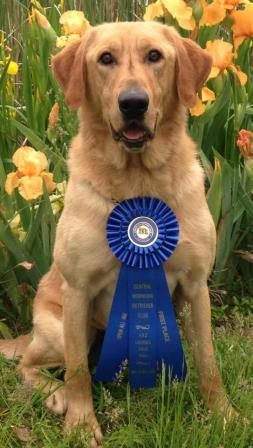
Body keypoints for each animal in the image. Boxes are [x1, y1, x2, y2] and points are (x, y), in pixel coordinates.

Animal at [0, 21, 236, 448]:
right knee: (31, 364)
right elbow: (78, 373)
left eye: (154, 56)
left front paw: (224, 417)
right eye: (105, 59)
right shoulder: (78, 291)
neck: (138, 184)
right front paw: (80, 425)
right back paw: (54, 393)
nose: (133, 103)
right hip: (56, 329)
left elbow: (209, 362)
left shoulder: (196, 287)